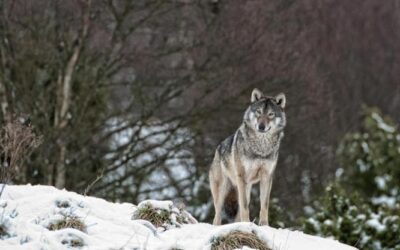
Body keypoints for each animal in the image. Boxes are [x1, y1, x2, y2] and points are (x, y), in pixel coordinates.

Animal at [209, 89, 284, 226]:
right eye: (259, 112)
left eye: (270, 114)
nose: (261, 126)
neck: (261, 147)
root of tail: (218, 148)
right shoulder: (242, 176)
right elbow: (244, 206)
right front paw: (247, 223)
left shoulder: (267, 177)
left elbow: (264, 205)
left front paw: (264, 225)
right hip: (224, 190)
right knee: (217, 215)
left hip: (246, 187)